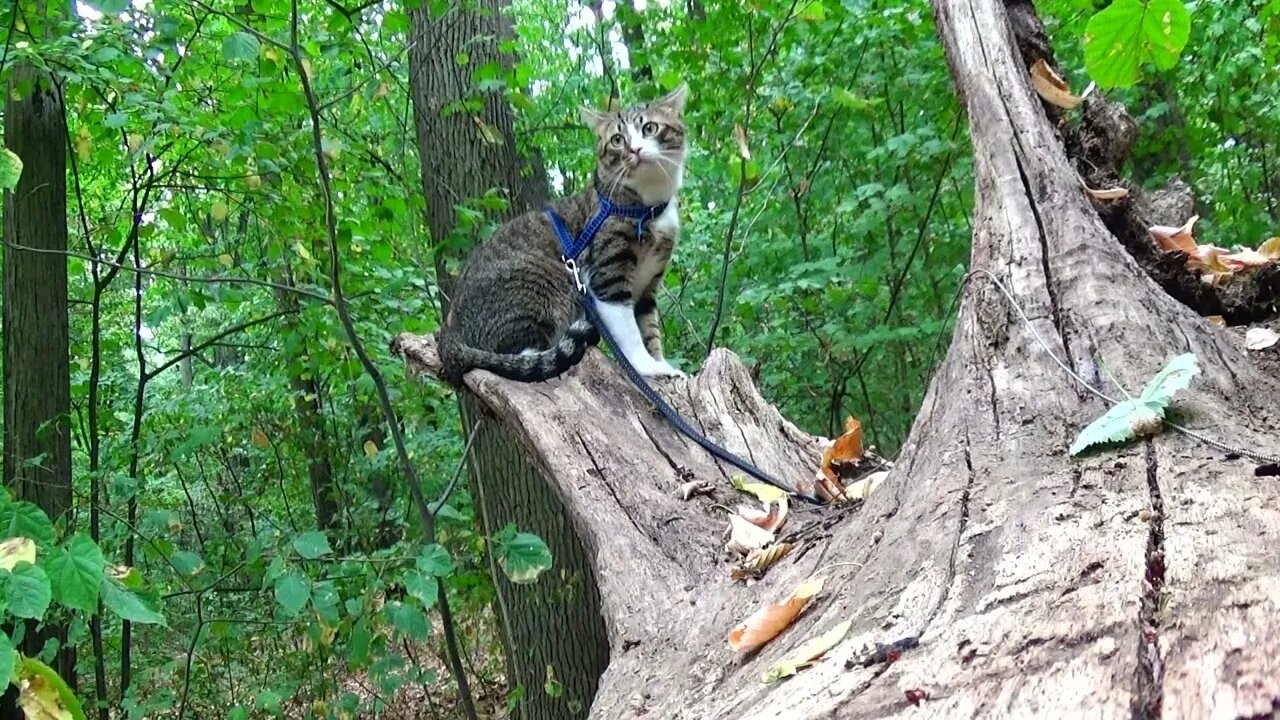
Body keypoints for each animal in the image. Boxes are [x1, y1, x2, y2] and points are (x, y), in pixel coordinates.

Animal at [440, 84, 696, 386]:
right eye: (617, 140)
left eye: (650, 128)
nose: (634, 149)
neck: (647, 208)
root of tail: (449, 332)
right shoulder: (607, 278)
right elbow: (629, 332)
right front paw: (647, 367)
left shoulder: (648, 287)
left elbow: (650, 330)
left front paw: (661, 363)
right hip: (538, 282)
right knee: (514, 356)